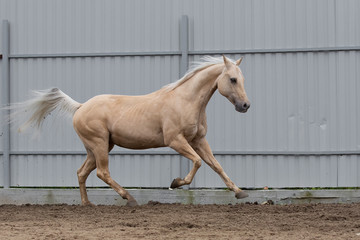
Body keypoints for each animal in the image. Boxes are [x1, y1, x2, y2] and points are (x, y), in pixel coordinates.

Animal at [13, 54, 250, 206]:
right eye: (232, 79)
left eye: (242, 79)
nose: (245, 106)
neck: (185, 100)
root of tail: (80, 107)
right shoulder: (175, 140)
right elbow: (198, 162)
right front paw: (175, 183)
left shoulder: (199, 140)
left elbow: (216, 165)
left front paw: (239, 193)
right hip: (99, 144)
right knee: (102, 172)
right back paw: (129, 198)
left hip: (97, 147)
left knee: (82, 172)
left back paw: (87, 203)